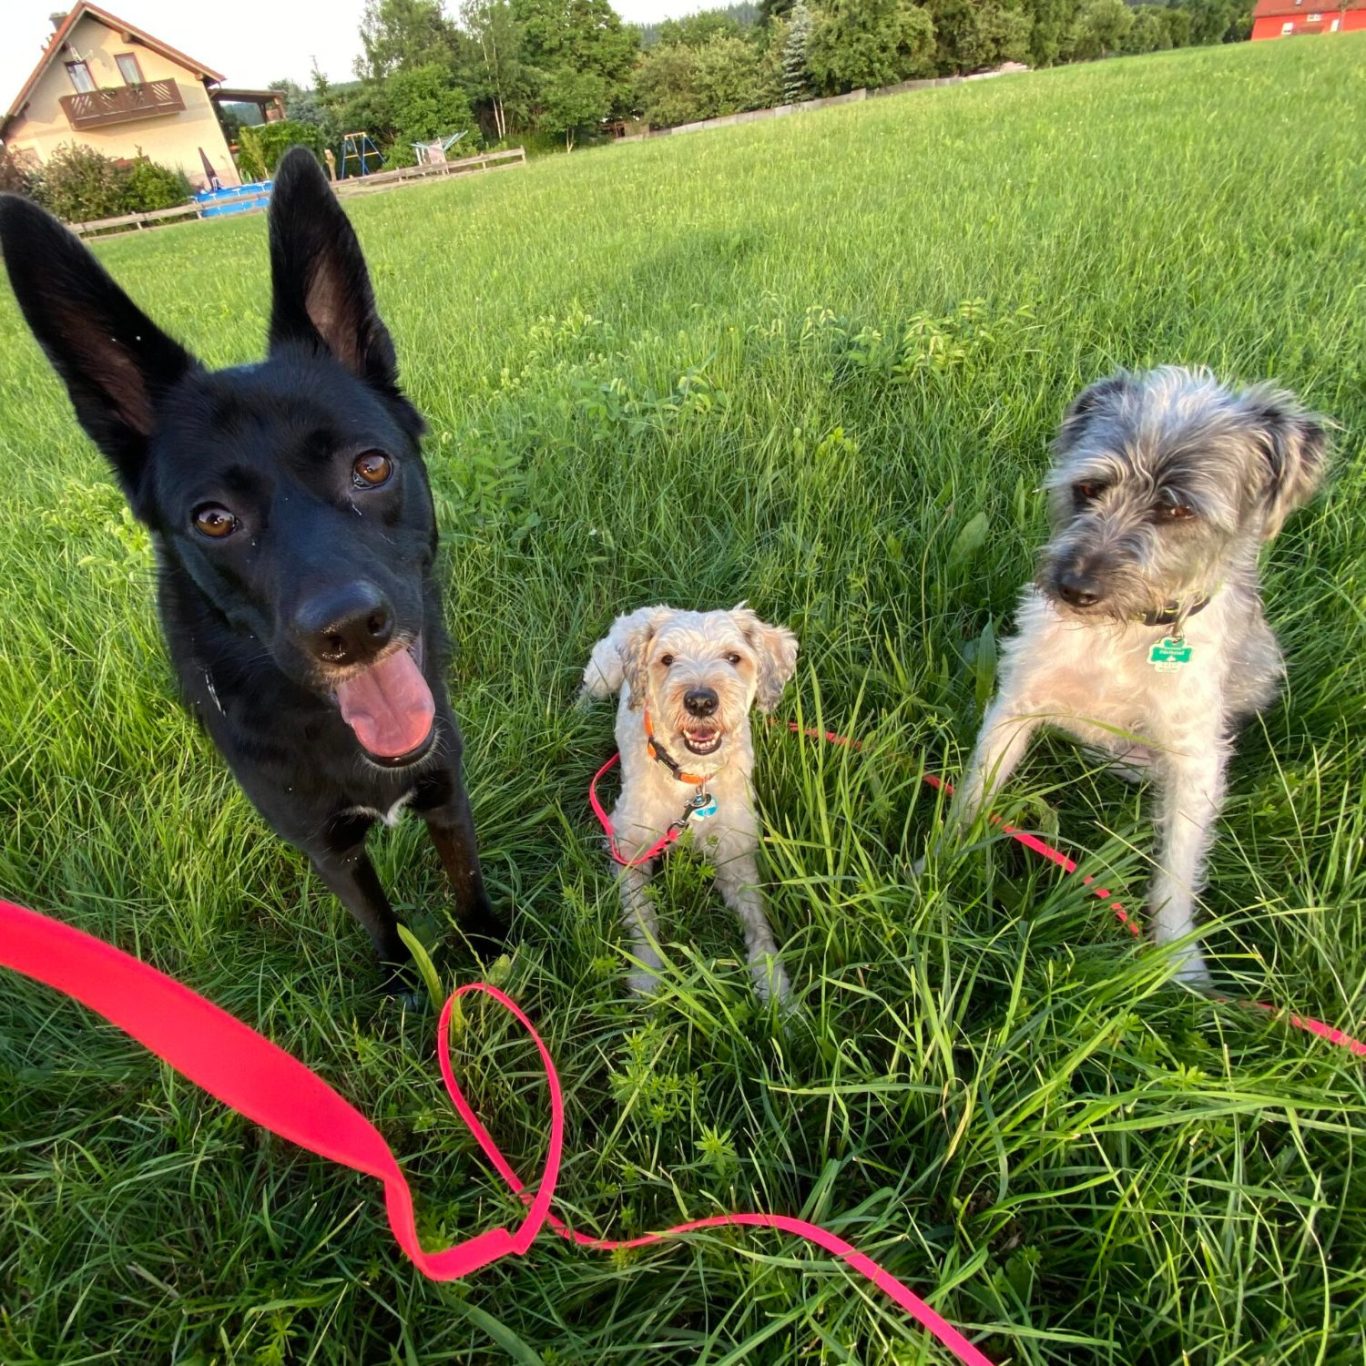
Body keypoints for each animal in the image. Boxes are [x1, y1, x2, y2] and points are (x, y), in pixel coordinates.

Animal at [1, 146, 508, 983]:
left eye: (372, 467)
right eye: (214, 519)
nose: (350, 631)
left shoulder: (445, 784)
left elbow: (465, 876)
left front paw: (489, 953)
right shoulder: (325, 847)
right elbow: (382, 922)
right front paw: (407, 987)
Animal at [579, 606, 797, 1005]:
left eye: (733, 657)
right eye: (667, 659)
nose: (700, 701)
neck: (692, 782)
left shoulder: (736, 855)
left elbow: (758, 922)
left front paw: (775, 988)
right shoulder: (629, 847)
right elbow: (643, 918)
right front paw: (647, 977)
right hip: (605, 671)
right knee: (588, 689)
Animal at [950, 366, 1322, 983]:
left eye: (1178, 511)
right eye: (1088, 489)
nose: (1073, 588)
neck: (1116, 635)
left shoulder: (1195, 758)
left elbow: (1178, 867)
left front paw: (1179, 963)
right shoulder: (1016, 704)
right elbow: (974, 796)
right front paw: (935, 869)